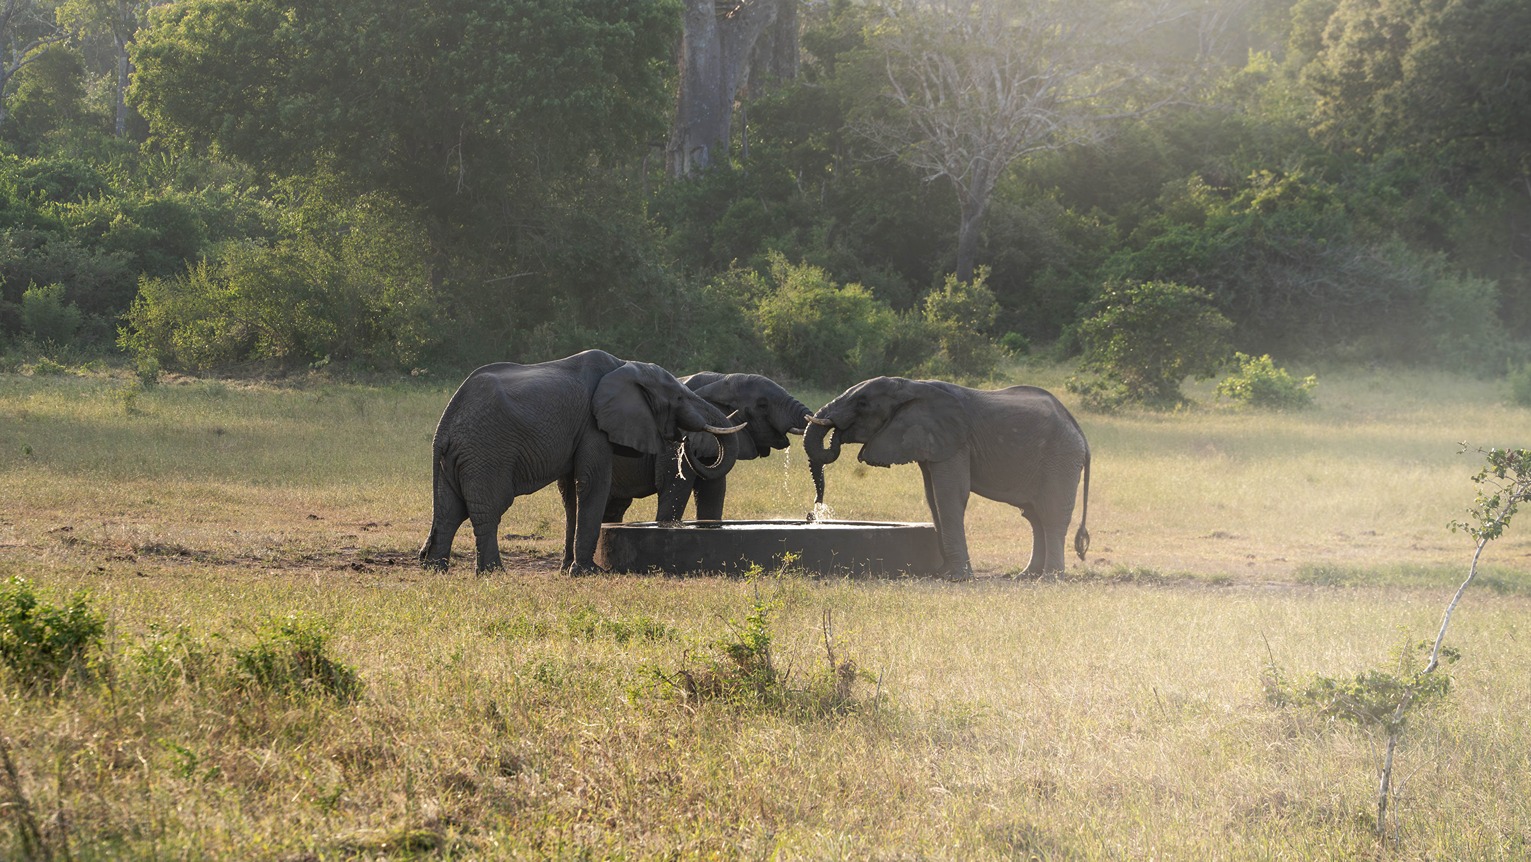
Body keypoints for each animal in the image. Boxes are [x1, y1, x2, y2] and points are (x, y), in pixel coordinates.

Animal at [419, 350, 746, 574]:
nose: (685, 442)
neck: (625, 367)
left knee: (450, 511)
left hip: (460, 457)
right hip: (487, 452)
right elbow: (592, 483)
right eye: (678, 398)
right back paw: (493, 573)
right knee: (488, 509)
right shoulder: (593, 426)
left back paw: (436, 569)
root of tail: (444, 426)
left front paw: (568, 568)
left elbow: (570, 493)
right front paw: (588, 572)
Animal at [603, 372, 812, 523]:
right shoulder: (672, 444)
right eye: (762, 404)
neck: (718, 379)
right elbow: (674, 490)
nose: (809, 515)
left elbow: (713, 492)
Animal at [803, 376, 1090, 580]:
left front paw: (956, 578)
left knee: (1051, 514)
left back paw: (1048, 579)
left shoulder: (955, 443)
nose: (813, 512)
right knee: (1033, 516)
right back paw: (1026, 576)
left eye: (862, 404)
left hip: (1061, 457)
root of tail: (1078, 429)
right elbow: (932, 497)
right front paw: (943, 573)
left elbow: (949, 496)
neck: (911, 385)